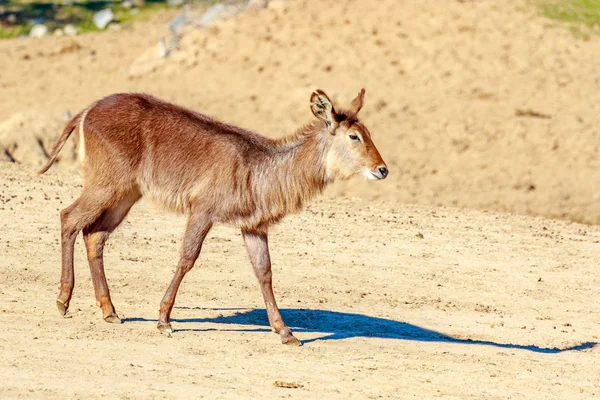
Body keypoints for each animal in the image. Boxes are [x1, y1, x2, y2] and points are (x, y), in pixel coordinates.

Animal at [41, 89, 390, 346]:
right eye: (354, 136)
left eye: (369, 132)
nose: (382, 169)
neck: (260, 170)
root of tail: (86, 112)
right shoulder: (202, 210)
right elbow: (187, 258)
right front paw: (164, 321)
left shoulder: (253, 226)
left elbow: (265, 273)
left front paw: (286, 333)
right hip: (106, 184)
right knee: (69, 217)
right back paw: (62, 301)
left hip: (126, 193)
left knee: (94, 234)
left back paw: (110, 311)